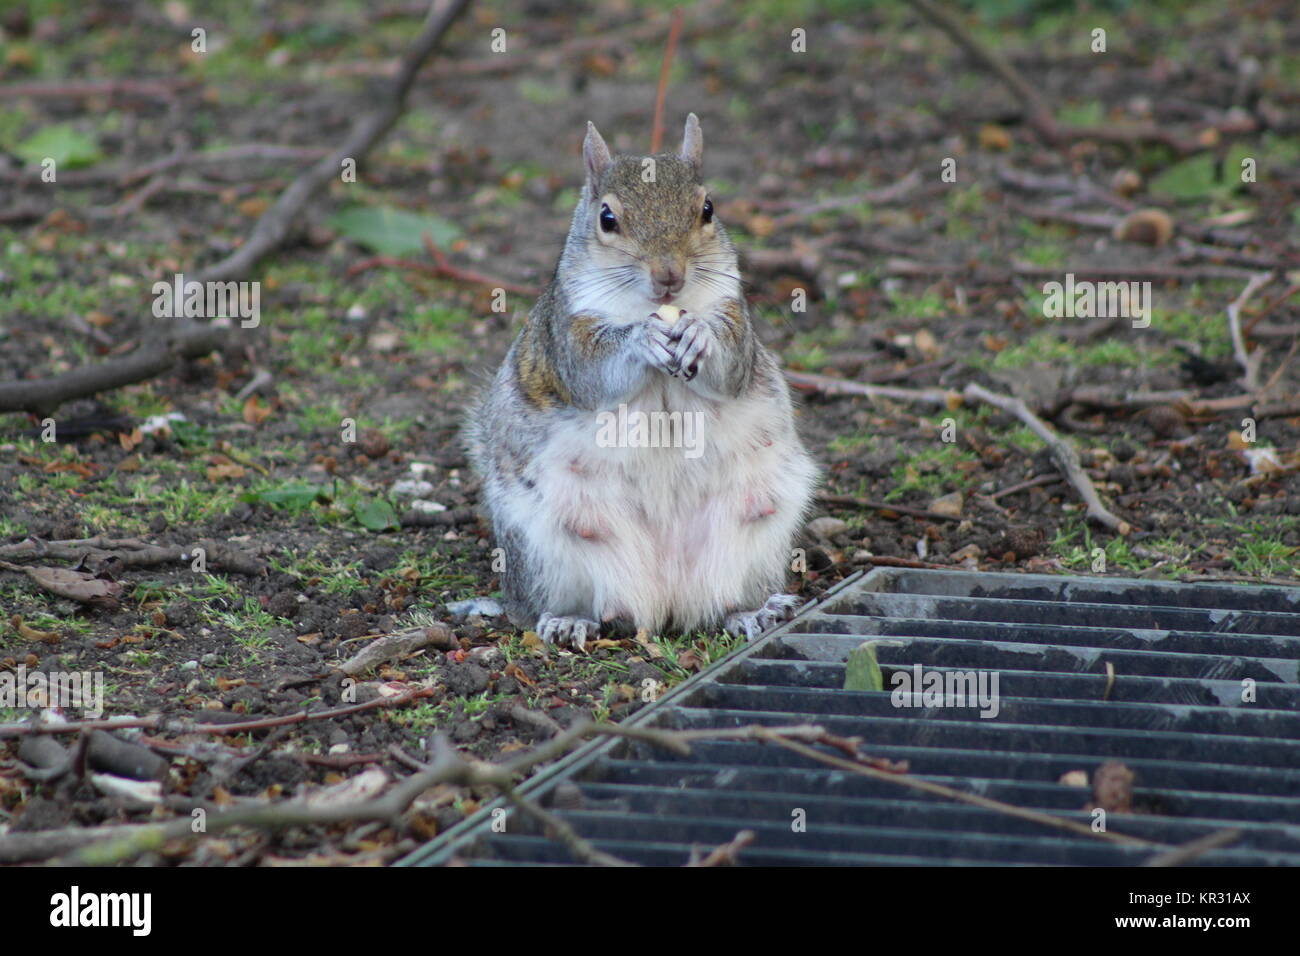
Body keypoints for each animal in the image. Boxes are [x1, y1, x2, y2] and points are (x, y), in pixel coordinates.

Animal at [464, 114, 818, 648]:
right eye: (607, 219)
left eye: (707, 209)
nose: (669, 274)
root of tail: (665, 598)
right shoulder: (567, 334)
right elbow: (593, 374)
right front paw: (641, 339)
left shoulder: (734, 318)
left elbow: (731, 368)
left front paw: (696, 335)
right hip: (544, 547)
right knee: (560, 603)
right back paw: (569, 619)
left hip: (759, 526)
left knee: (725, 600)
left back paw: (751, 612)